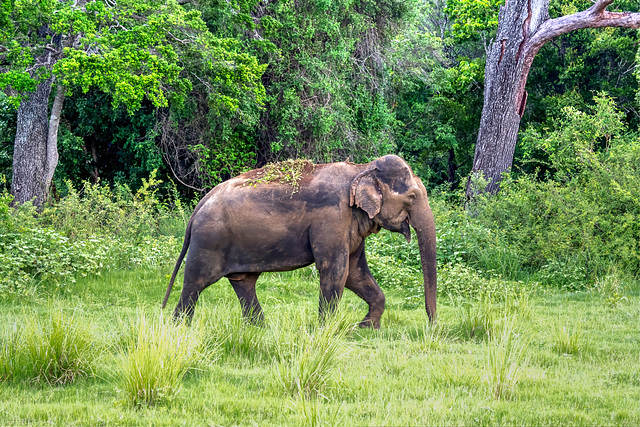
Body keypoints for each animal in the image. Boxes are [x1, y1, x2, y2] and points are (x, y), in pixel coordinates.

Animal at [162, 155, 438, 330]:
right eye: (412, 197)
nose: (432, 327)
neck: (361, 168)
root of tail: (199, 206)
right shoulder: (332, 218)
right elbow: (335, 270)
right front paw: (326, 331)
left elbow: (355, 273)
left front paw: (366, 327)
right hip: (209, 241)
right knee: (195, 282)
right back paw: (179, 328)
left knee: (244, 282)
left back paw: (260, 329)